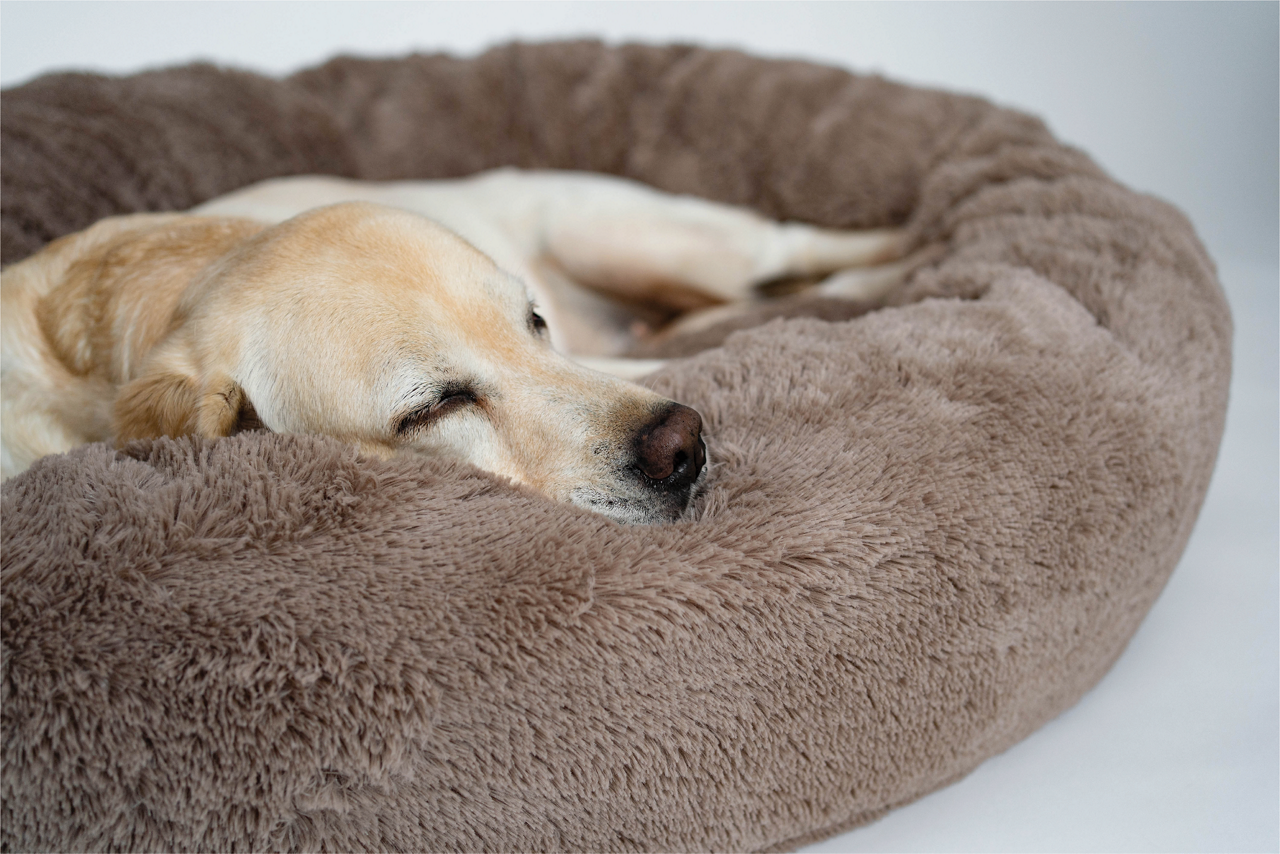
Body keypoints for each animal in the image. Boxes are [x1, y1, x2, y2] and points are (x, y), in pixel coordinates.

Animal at [0, 169, 906, 522]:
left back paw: (901, 254)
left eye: (532, 321)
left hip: (639, 236)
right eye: (433, 407)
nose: (683, 446)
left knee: (802, 250)